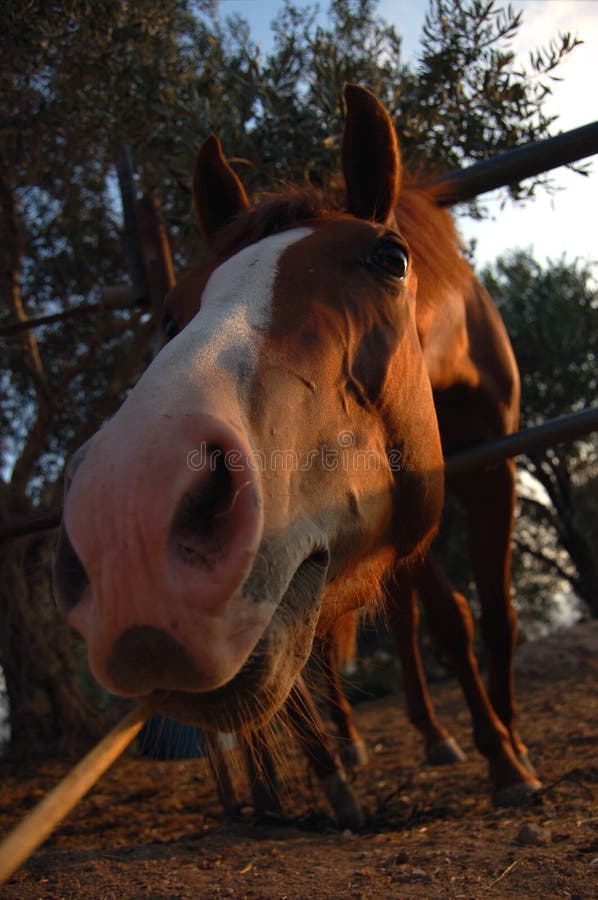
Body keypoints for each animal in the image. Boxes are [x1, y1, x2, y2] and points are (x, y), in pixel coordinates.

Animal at [53, 84, 540, 814]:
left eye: (391, 259)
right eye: (170, 311)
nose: (125, 522)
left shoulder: (491, 468)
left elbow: (496, 616)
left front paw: (513, 752)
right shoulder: (405, 509)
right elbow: (449, 620)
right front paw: (500, 754)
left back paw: (427, 738)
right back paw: (343, 763)